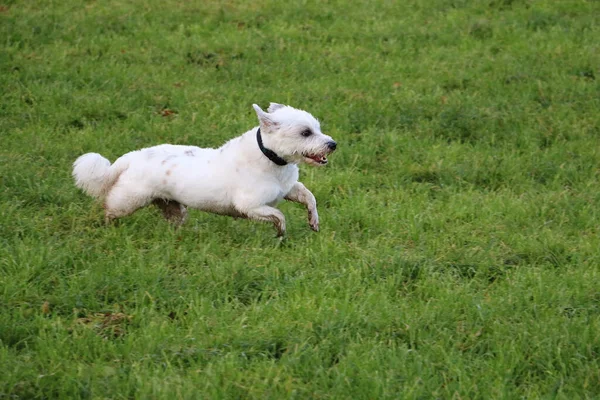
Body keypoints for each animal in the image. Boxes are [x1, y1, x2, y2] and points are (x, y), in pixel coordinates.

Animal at [72, 101, 336, 236]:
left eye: (318, 128)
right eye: (305, 133)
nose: (332, 144)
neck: (271, 159)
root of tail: (131, 157)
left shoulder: (289, 189)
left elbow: (309, 198)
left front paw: (313, 222)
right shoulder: (251, 206)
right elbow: (279, 215)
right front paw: (281, 232)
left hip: (173, 207)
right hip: (128, 199)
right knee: (110, 208)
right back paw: (109, 227)